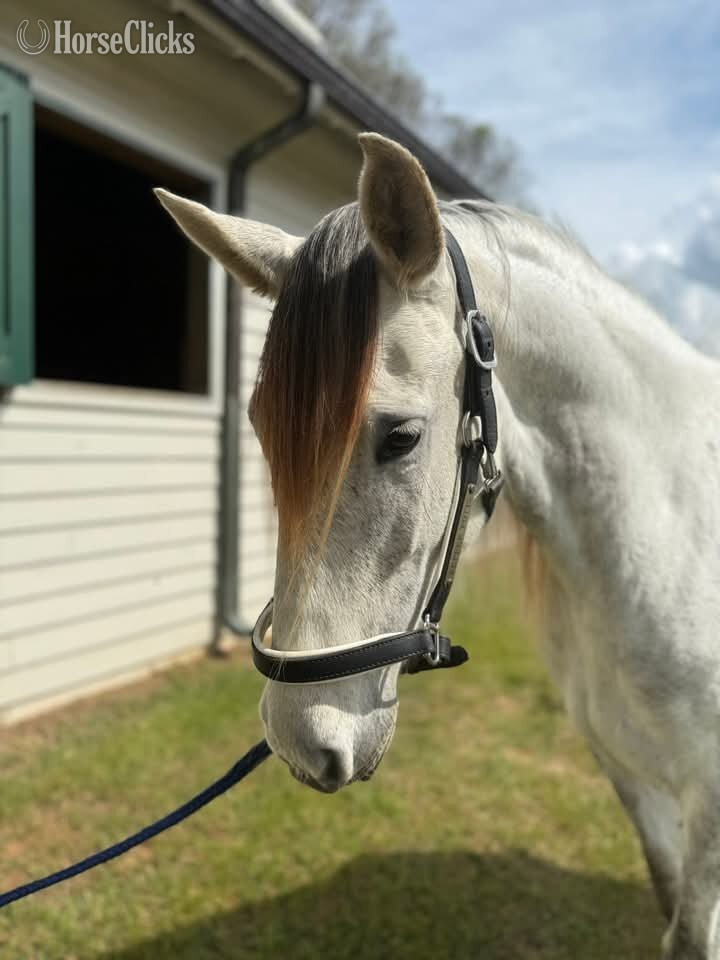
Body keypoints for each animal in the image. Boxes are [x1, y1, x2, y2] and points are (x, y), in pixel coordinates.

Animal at [156, 133, 720, 959]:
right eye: (261, 427)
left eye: (402, 437)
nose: (299, 739)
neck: (669, 533)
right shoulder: (636, 783)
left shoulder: (707, 801)